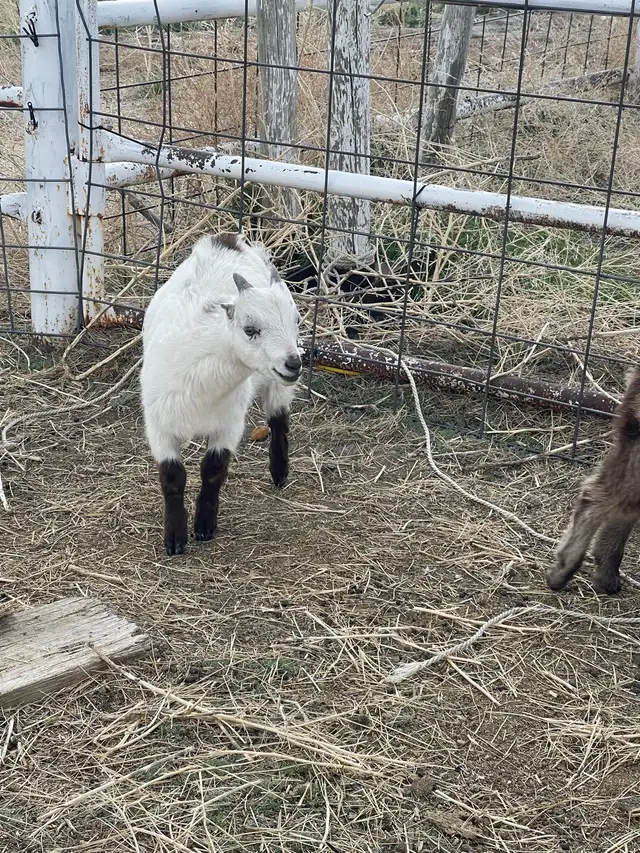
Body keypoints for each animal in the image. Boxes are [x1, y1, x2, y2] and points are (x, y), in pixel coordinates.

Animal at [140, 232, 302, 556]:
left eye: (297, 320)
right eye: (249, 329)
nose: (294, 363)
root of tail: (227, 238)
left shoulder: (229, 423)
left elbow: (213, 471)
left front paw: (204, 526)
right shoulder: (159, 424)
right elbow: (173, 477)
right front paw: (174, 538)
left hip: (276, 384)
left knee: (278, 419)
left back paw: (279, 473)